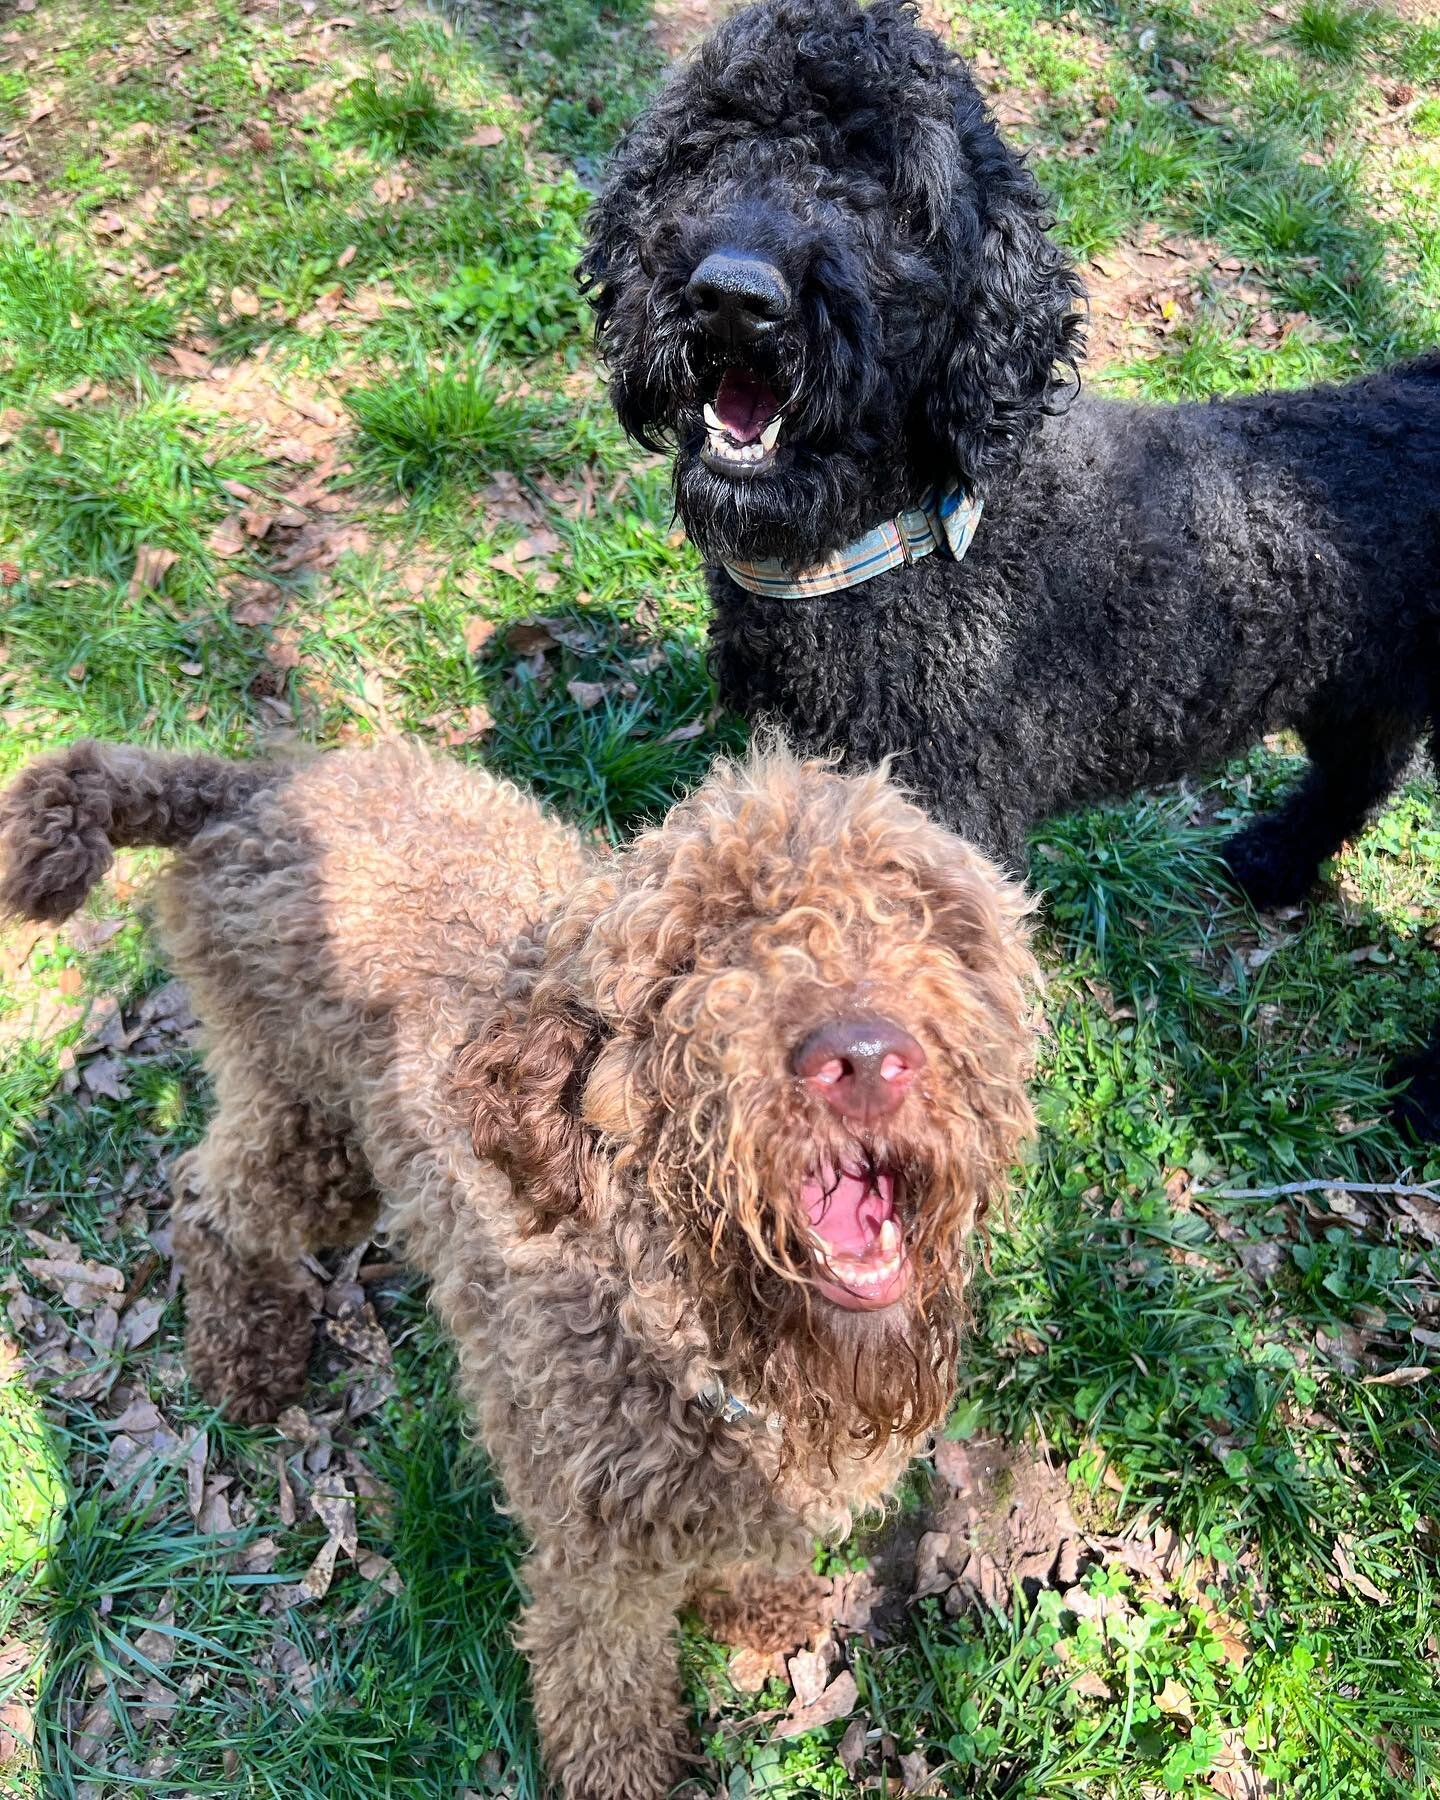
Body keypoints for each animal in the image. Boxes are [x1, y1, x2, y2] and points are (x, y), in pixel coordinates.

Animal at [0, 734, 1036, 1800]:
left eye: (930, 919)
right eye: (694, 955)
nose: (864, 1057)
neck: (691, 1330)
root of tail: (258, 779)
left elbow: (752, 1553)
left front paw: (762, 1607)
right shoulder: (593, 1555)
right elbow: (604, 1679)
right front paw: (624, 1773)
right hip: (308, 1126)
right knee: (205, 1197)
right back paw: (245, 1353)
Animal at [583, 0, 1440, 1123]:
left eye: (892, 192)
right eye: (707, 148)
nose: (733, 295)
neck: (883, 550)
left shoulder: (946, 825)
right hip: (1360, 684)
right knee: (1365, 773)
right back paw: (1276, 860)